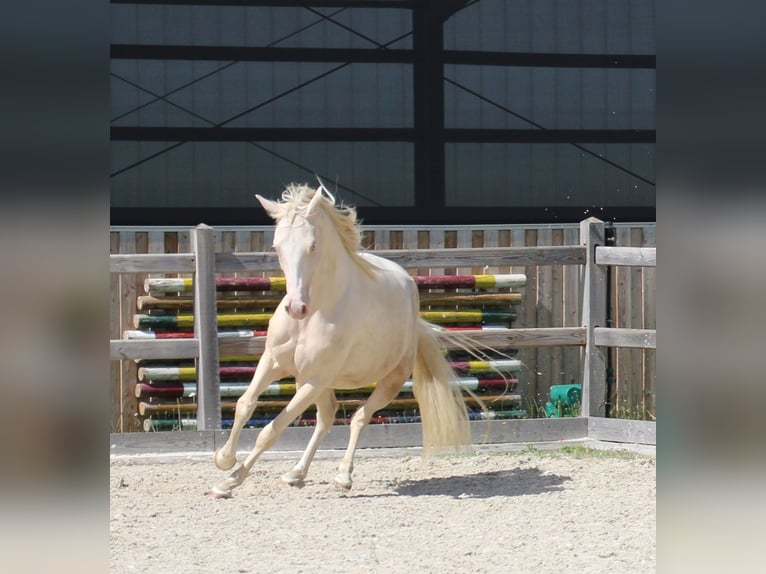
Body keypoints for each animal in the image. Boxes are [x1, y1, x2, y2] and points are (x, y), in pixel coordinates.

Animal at [209, 182, 476, 498]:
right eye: (277, 246)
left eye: (312, 245)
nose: (296, 308)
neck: (316, 312)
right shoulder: (274, 363)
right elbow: (244, 405)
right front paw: (224, 461)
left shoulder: (315, 378)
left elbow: (271, 430)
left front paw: (230, 480)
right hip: (312, 381)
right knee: (327, 417)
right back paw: (295, 474)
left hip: (389, 380)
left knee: (359, 417)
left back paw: (343, 476)